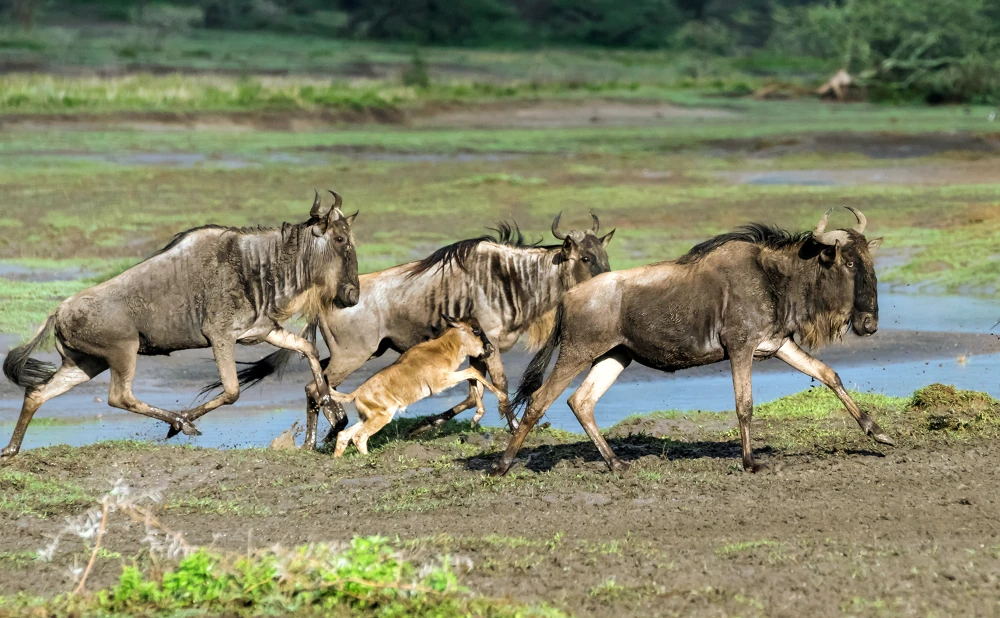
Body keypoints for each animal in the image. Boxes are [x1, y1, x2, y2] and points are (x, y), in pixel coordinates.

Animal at [330, 316, 504, 454]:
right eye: (475, 329)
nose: (490, 349)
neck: (440, 350)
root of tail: (356, 393)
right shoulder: (441, 382)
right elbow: (473, 372)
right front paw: (502, 399)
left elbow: (472, 377)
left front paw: (476, 417)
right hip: (381, 417)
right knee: (359, 436)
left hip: (366, 418)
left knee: (344, 435)